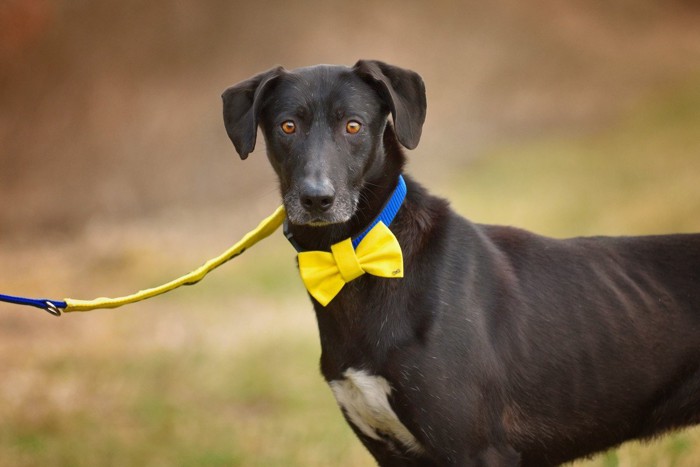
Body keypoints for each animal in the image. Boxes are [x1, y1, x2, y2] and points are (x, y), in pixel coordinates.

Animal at [223, 60, 700, 466]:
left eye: (353, 125)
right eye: (287, 126)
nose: (316, 199)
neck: (358, 259)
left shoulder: (480, 450)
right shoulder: (392, 452)